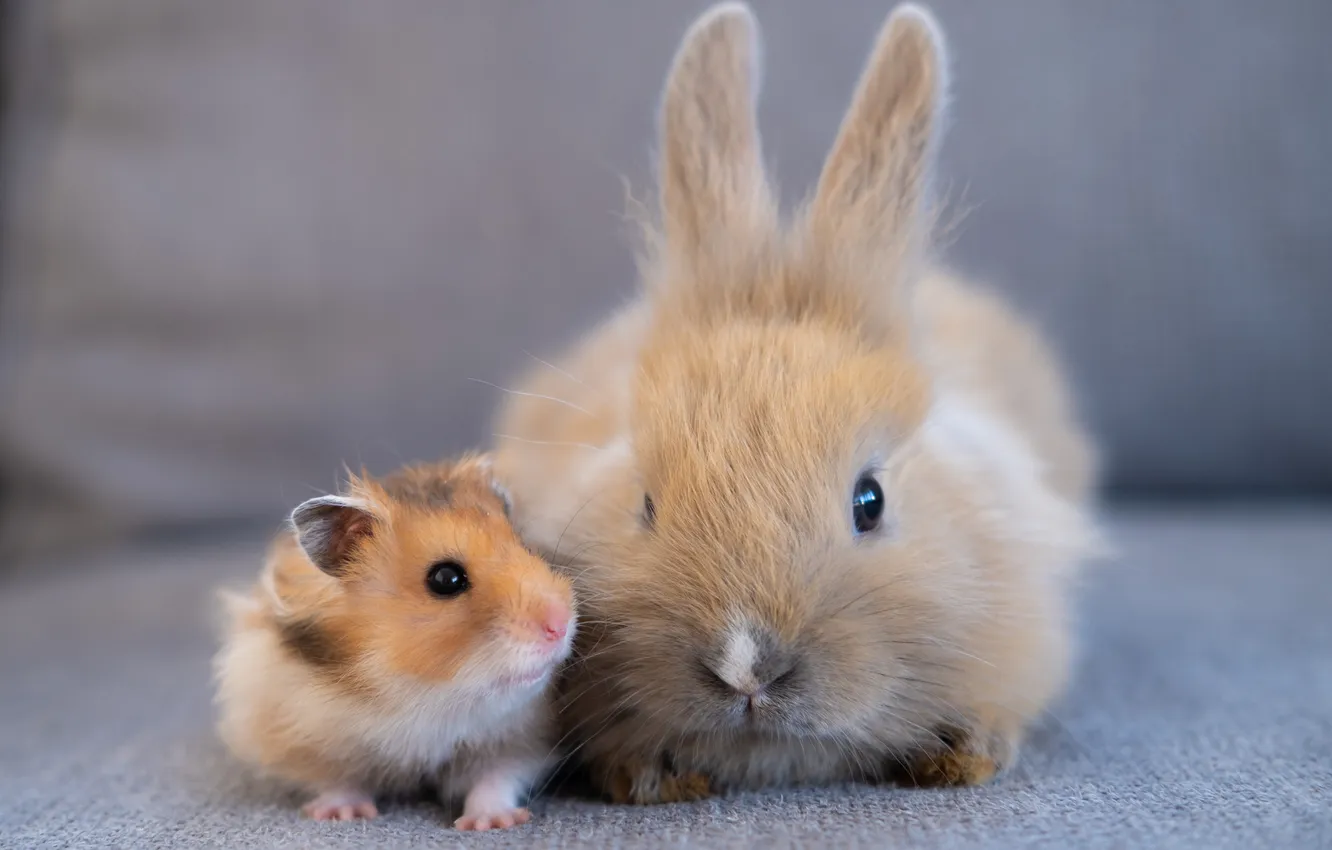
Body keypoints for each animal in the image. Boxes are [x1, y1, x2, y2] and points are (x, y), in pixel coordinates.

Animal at [213, 453, 576, 830]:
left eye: (526, 546)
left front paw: (492, 823)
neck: (419, 691)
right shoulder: (302, 733)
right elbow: (337, 781)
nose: (561, 624)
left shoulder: (515, 736)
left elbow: (494, 779)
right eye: (446, 579)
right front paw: (343, 814)